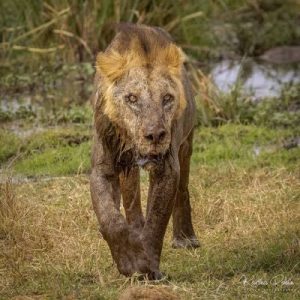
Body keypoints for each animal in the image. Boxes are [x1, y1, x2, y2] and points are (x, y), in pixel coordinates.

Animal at [91, 23, 199, 278]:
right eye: (132, 98)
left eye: (167, 98)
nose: (155, 135)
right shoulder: (103, 167)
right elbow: (110, 218)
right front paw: (128, 260)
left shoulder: (167, 167)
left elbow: (156, 221)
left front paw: (147, 266)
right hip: (127, 168)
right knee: (131, 198)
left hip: (186, 144)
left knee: (183, 189)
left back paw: (185, 238)